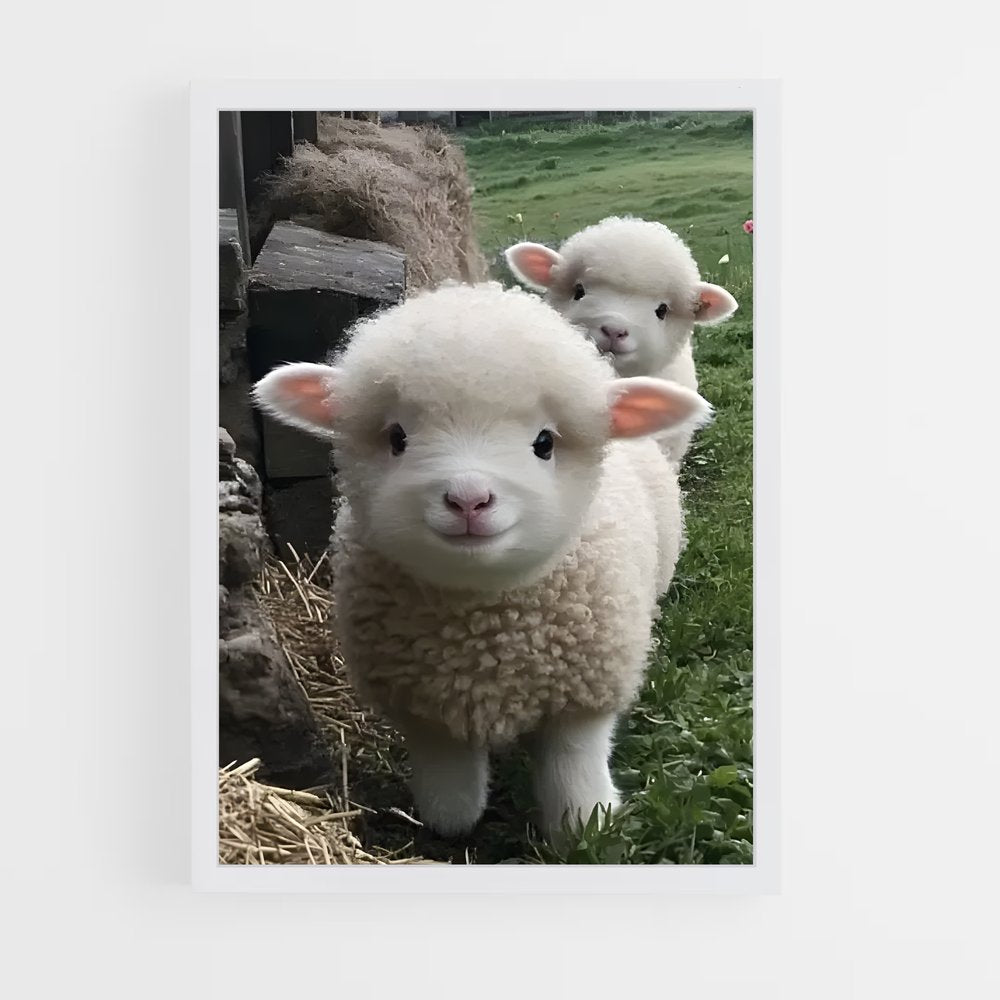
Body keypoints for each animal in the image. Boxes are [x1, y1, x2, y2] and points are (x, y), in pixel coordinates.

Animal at [252, 282, 711, 839]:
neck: (485, 625)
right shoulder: (424, 708)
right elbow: (452, 799)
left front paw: (585, 825)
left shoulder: (584, 695)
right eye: (397, 438)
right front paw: (448, 821)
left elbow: (574, 773)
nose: (468, 499)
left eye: (544, 443)